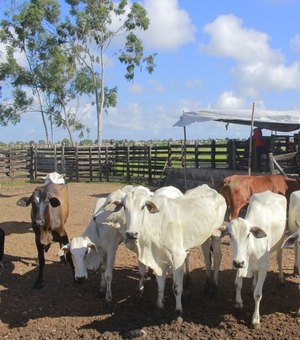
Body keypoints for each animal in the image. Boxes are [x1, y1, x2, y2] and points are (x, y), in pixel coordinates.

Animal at [113, 185, 226, 318]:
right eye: (124, 207)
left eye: (143, 206)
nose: (131, 234)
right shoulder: (158, 260)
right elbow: (160, 286)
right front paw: (158, 308)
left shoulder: (178, 257)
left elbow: (177, 287)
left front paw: (178, 312)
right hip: (204, 237)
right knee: (207, 259)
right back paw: (207, 287)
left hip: (216, 235)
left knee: (217, 258)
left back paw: (214, 288)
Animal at [218, 190, 286, 328]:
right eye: (230, 235)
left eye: (248, 234)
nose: (238, 262)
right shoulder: (241, 264)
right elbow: (237, 284)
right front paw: (239, 303)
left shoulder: (263, 268)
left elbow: (258, 295)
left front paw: (255, 319)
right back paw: (253, 284)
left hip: (280, 243)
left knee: (279, 258)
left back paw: (281, 279)